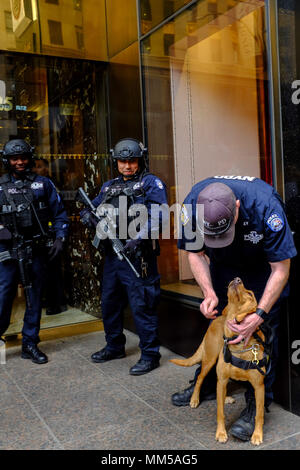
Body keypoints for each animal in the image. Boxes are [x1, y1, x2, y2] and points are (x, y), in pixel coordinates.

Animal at [170, 278, 266, 446]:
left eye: (249, 293)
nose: (237, 278)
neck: (238, 342)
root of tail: (217, 319)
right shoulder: (222, 380)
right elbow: (220, 412)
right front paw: (221, 433)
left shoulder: (259, 386)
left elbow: (259, 414)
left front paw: (257, 434)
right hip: (210, 359)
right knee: (200, 378)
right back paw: (194, 398)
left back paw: (225, 398)